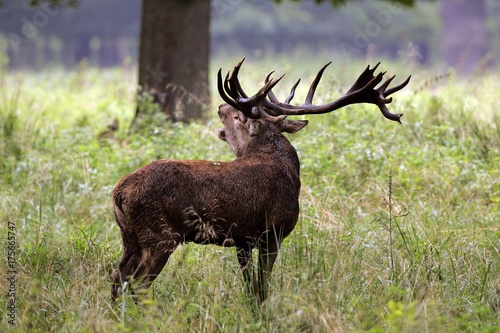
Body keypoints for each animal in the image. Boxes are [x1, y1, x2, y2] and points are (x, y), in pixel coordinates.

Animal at [110, 58, 410, 302]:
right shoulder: (273, 230)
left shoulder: (241, 239)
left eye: (236, 116)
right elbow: (263, 285)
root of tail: (119, 193)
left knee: (117, 276)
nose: (220, 105)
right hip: (159, 234)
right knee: (136, 284)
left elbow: (249, 285)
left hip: (130, 234)